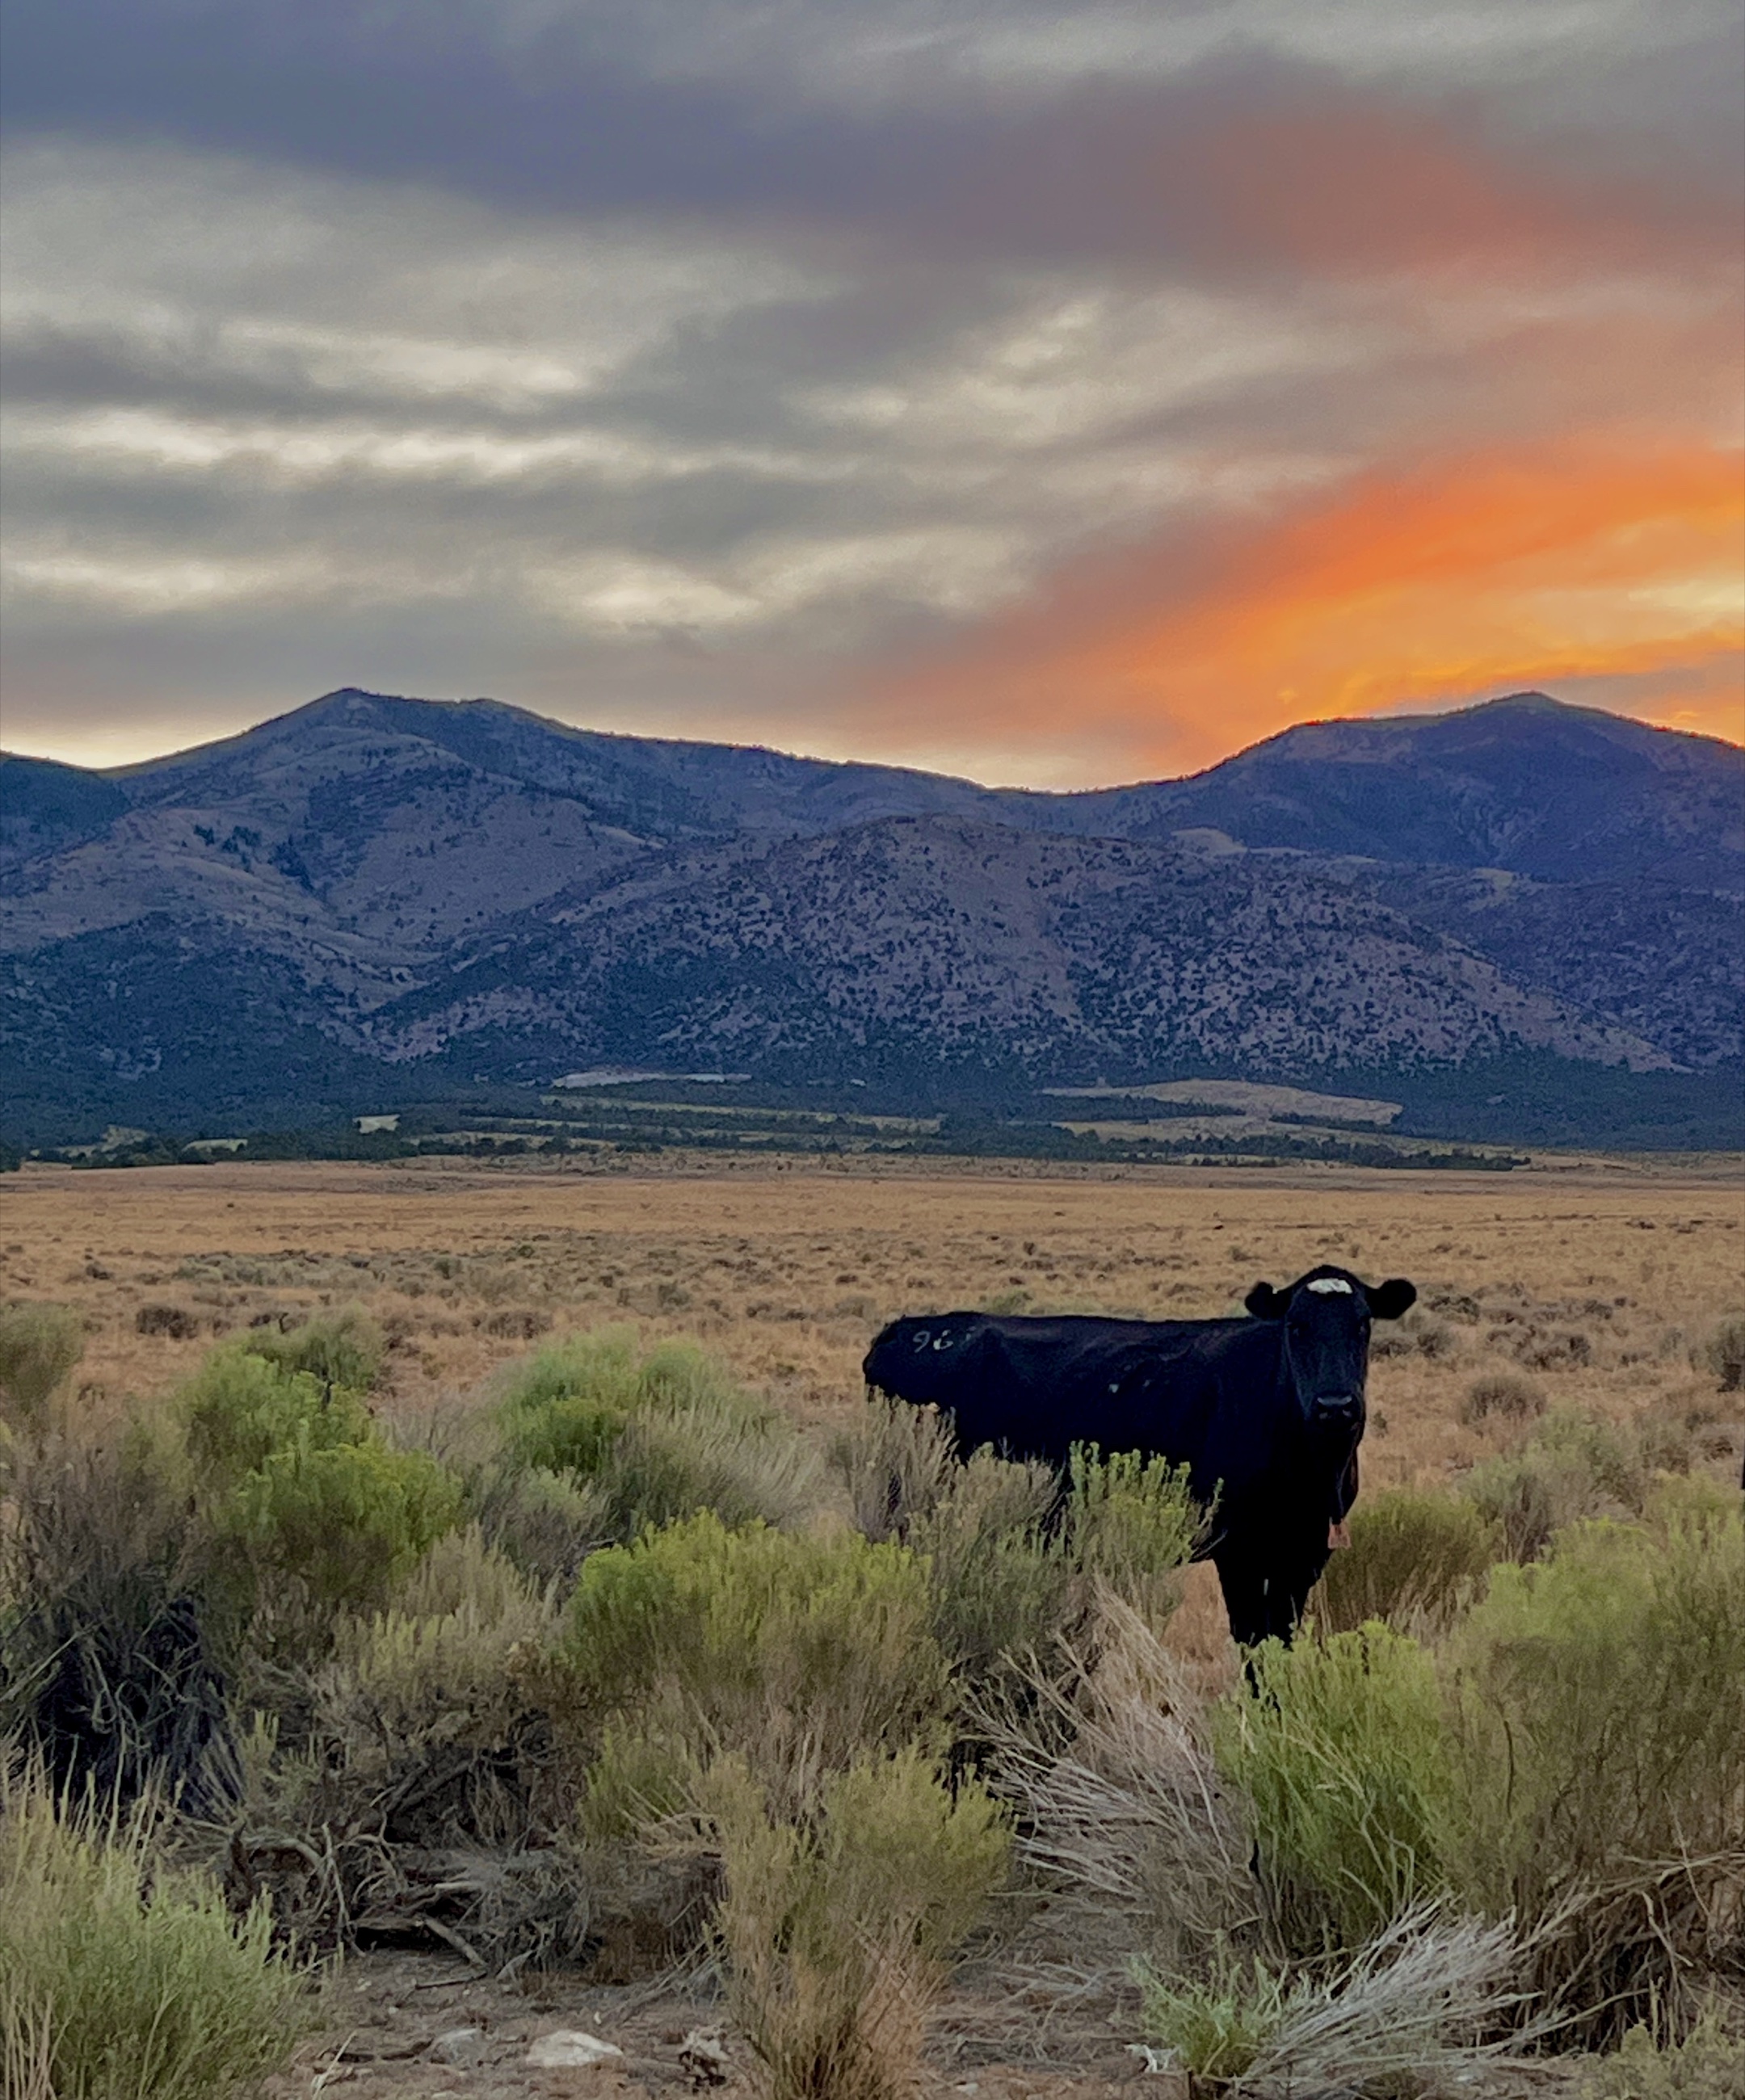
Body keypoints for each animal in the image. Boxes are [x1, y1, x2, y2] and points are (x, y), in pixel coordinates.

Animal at [863, 1264, 1417, 1648]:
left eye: (1363, 1324)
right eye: (1296, 1326)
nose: (1335, 1405)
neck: (1316, 1472)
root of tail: (905, 1328)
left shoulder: (1304, 1555)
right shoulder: (1238, 1552)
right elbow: (1252, 1645)